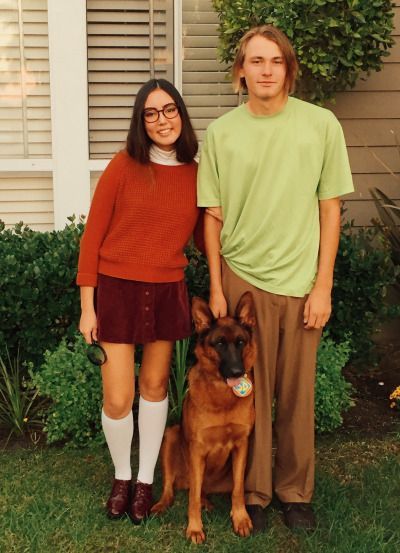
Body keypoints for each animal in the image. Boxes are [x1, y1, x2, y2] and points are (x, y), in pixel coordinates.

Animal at [150, 292, 256, 540]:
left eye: (240, 342)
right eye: (219, 344)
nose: (237, 372)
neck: (222, 398)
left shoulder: (241, 445)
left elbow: (238, 489)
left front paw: (240, 518)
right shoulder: (197, 450)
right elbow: (193, 499)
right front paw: (195, 527)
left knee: (203, 490)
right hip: (171, 436)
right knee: (174, 487)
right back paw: (162, 504)